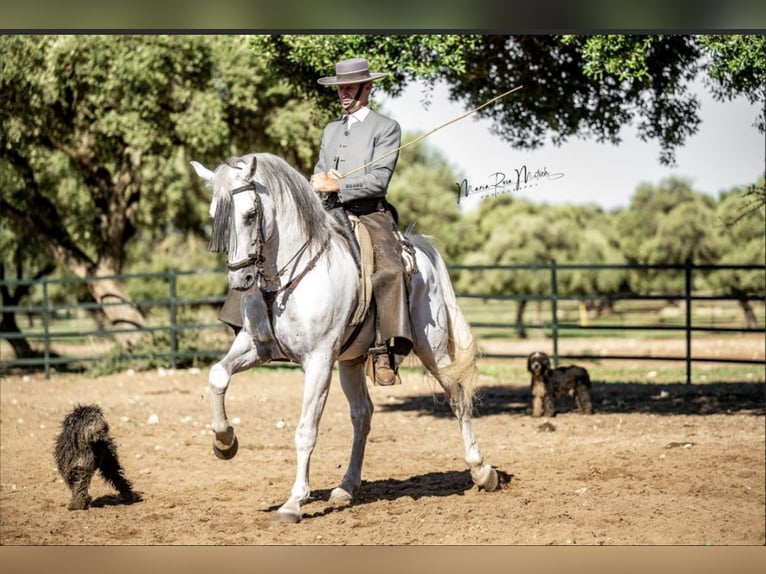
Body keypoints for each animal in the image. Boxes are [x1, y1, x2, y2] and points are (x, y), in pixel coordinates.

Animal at [191, 152, 499, 523]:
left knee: (457, 397)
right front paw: (224, 442)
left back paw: (482, 471)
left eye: (251, 214)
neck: (287, 279)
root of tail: (421, 249)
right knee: (362, 415)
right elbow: (218, 375)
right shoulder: (257, 346)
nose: (241, 279)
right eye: (215, 216)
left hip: (433, 350)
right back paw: (346, 487)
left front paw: (294, 502)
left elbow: (306, 430)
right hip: (351, 361)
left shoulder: (319, 361)